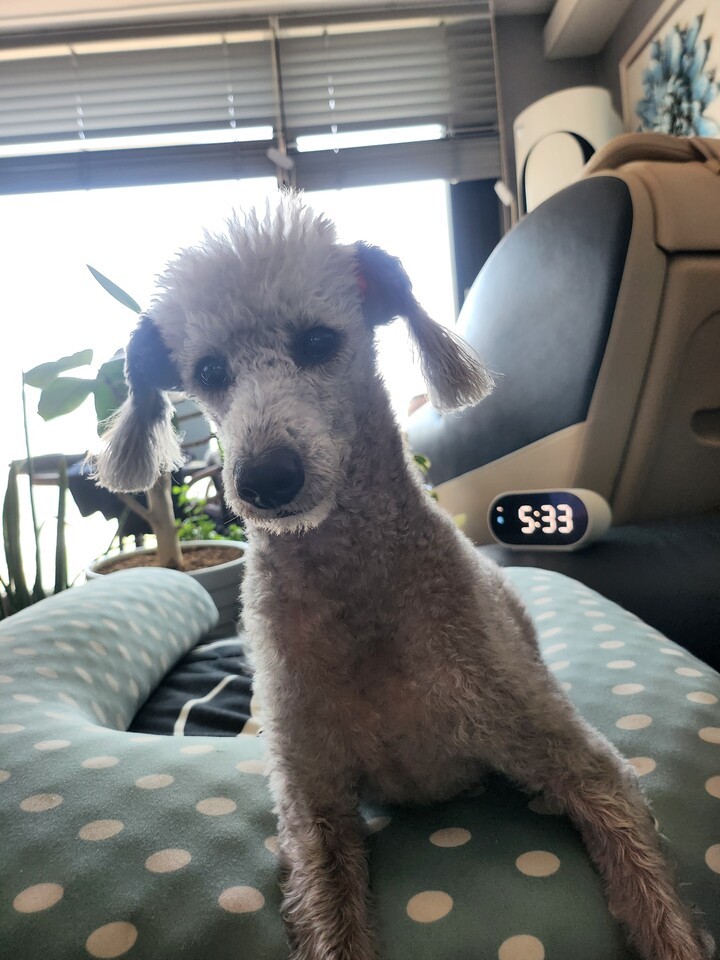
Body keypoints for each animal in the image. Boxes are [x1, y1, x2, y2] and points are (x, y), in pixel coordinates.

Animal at [95, 193, 708, 960]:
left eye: (319, 342)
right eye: (207, 370)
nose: (265, 479)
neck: (358, 590)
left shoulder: (585, 765)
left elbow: (652, 895)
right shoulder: (313, 806)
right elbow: (330, 916)